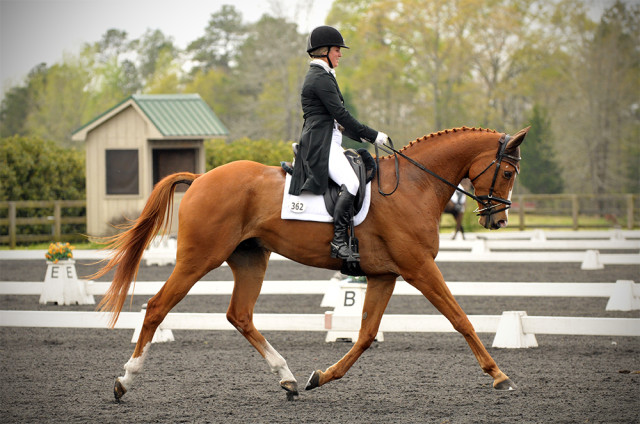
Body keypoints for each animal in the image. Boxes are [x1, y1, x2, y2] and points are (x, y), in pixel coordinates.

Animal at [94, 125, 524, 400]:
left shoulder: (384, 275)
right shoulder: (419, 268)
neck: (414, 187)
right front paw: (499, 376)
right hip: (198, 258)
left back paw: (288, 379)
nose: (498, 221)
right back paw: (124, 381)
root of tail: (200, 178)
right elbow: (460, 318)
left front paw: (322, 377)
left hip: (250, 259)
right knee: (156, 307)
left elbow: (366, 335)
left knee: (240, 315)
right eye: (506, 171)